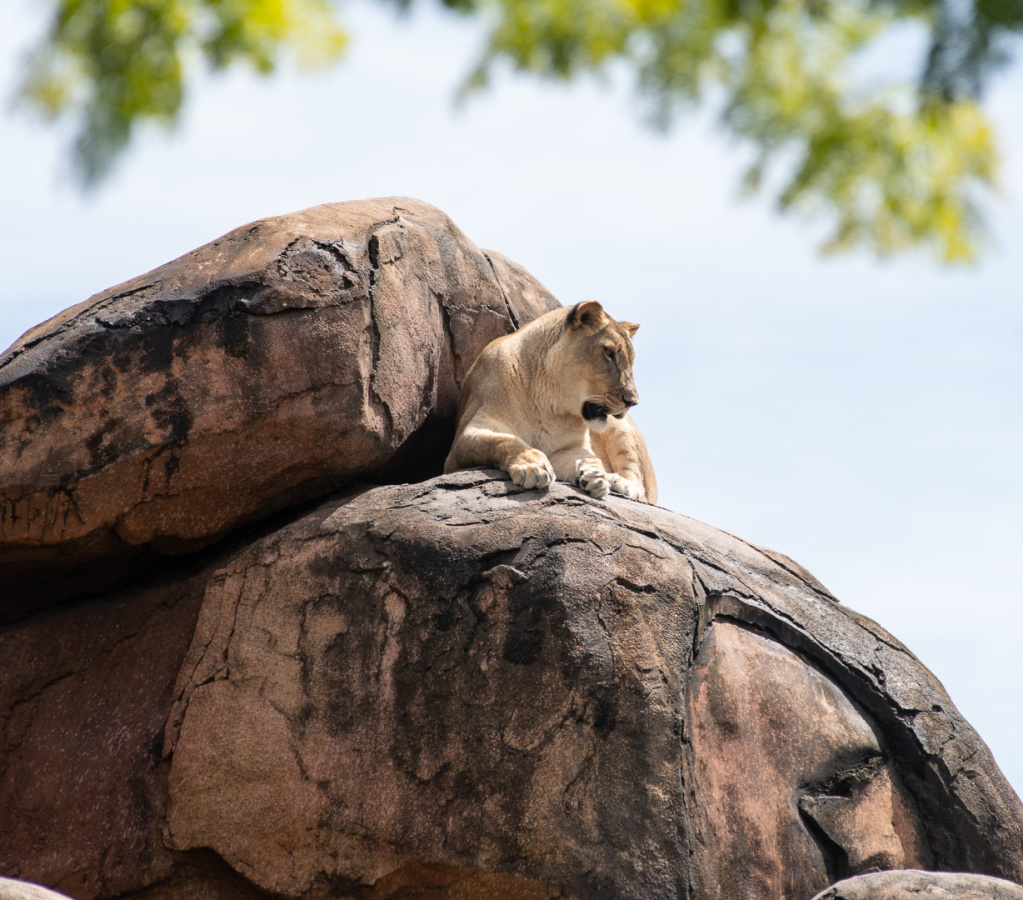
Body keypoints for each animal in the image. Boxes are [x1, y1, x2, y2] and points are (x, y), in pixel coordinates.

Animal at [443, 301, 658, 504]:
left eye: (630, 361)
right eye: (609, 353)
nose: (633, 401)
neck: (548, 402)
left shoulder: (566, 448)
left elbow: (586, 456)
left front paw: (595, 474)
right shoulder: (462, 441)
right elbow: (503, 440)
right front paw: (532, 466)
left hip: (621, 431)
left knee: (641, 489)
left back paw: (619, 483)